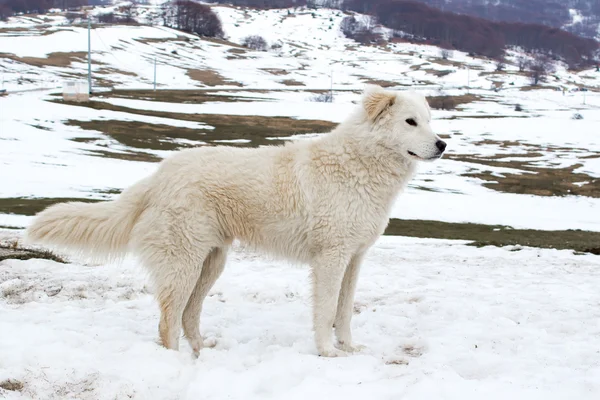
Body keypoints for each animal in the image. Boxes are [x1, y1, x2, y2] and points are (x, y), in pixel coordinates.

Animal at [25, 86, 446, 358]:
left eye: (428, 121)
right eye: (410, 122)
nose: (443, 144)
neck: (360, 163)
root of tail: (158, 176)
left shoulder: (354, 258)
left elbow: (343, 312)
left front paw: (349, 346)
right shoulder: (331, 258)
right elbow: (326, 310)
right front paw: (328, 352)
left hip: (211, 262)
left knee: (188, 315)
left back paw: (202, 351)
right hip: (183, 264)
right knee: (168, 321)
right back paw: (174, 363)